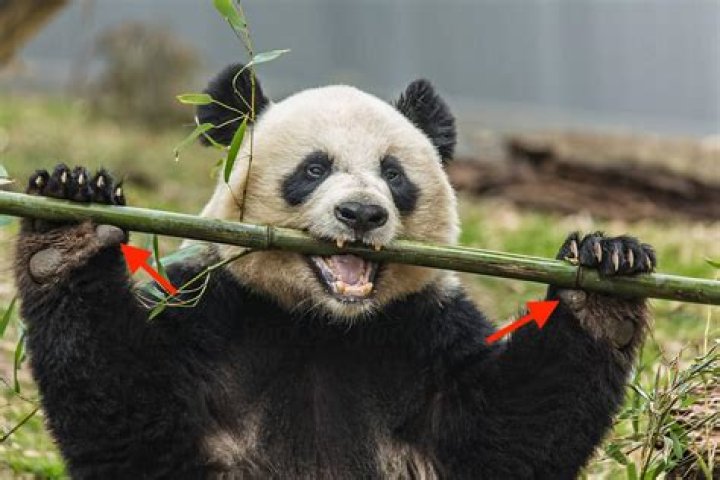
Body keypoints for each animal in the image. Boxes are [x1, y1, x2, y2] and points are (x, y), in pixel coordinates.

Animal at [14, 64, 656, 479]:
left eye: (393, 174)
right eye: (314, 169)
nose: (363, 213)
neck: (323, 324)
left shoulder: (422, 331)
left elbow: (510, 438)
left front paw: (605, 272)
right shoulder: (212, 311)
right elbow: (130, 422)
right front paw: (67, 224)